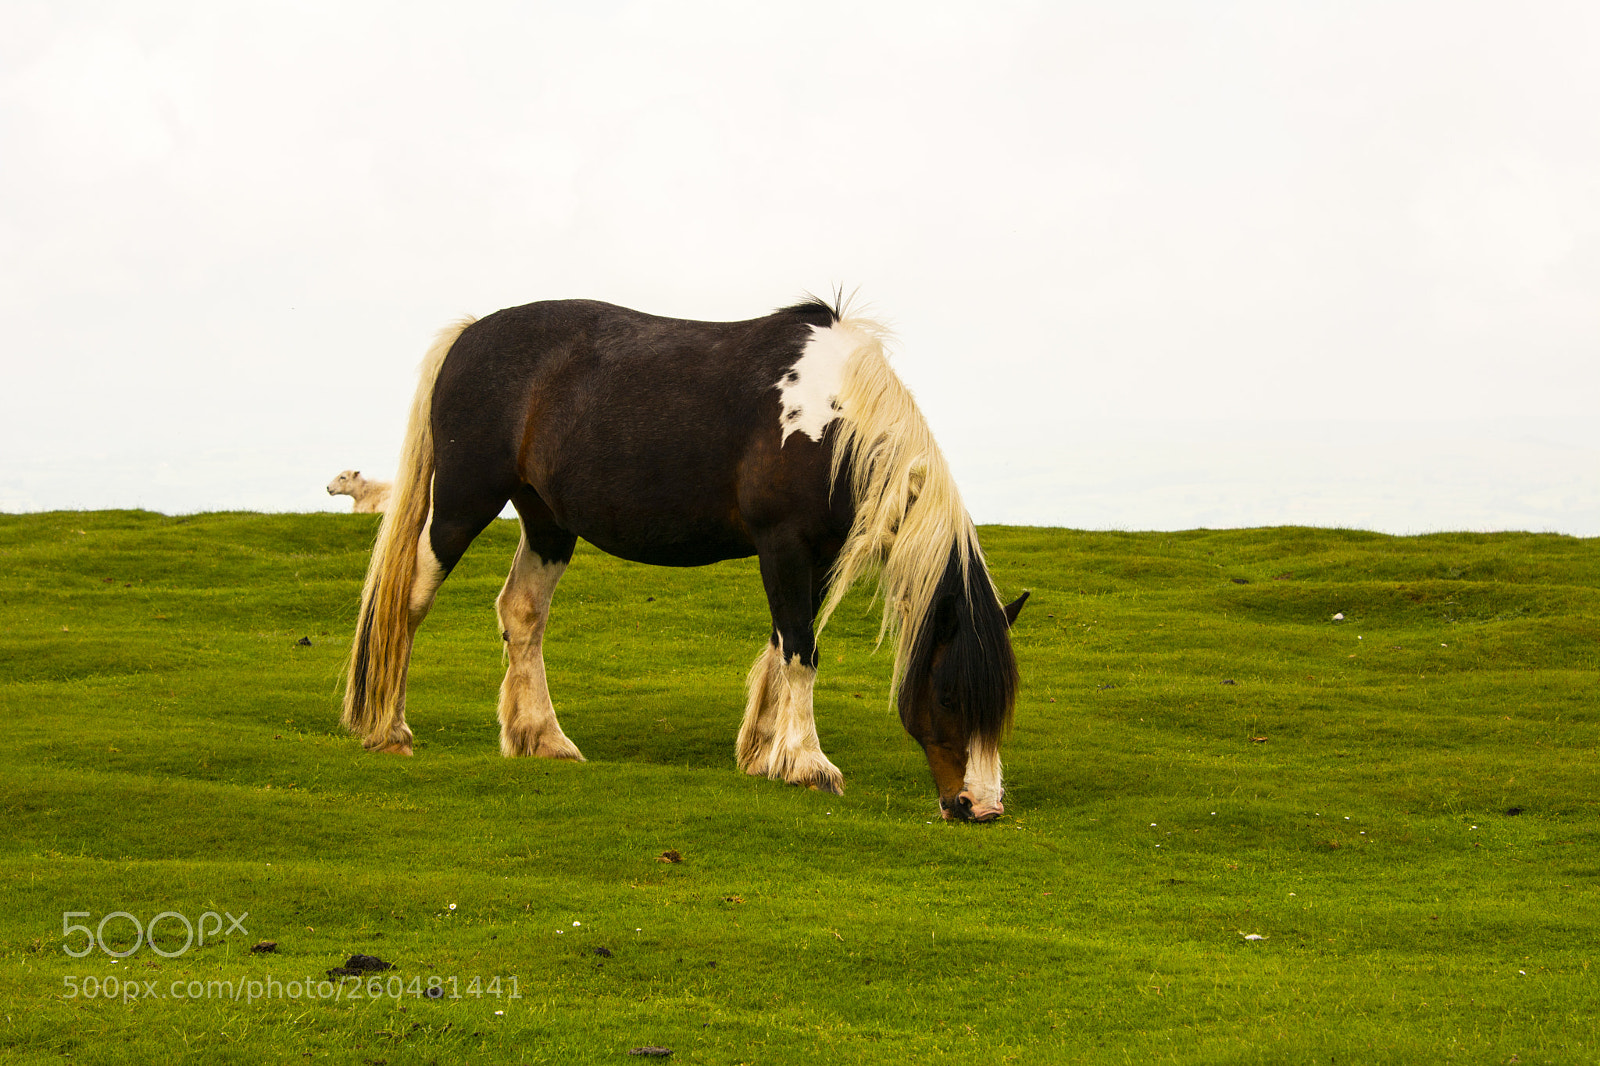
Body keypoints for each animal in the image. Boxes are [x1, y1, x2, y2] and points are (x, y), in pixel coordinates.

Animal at [342, 296, 1027, 821]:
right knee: (408, 601)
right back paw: (388, 731)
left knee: (522, 614)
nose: (982, 807)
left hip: (546, 522)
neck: (831, 420)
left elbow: (784, 644)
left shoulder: (815, 557)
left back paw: (542, 739)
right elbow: (801, 653)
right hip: (462, 502)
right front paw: (809, 764)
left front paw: (763, 754)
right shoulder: (784, 545)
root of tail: (469, 334)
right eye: (949, 696)